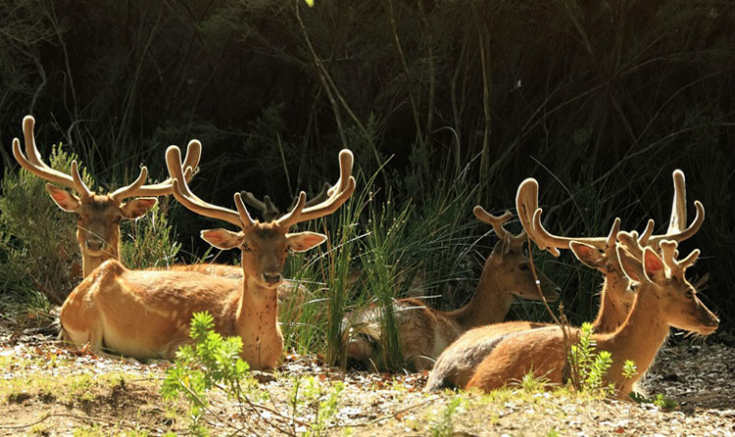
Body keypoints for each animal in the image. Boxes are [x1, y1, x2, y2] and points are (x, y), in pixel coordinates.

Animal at [59, 146, 356, 368]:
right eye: (246, 245)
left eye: (285, 247)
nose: (272, 275)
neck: (255, 348)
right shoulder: (182, 345)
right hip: (86, 319)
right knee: (93, 347)